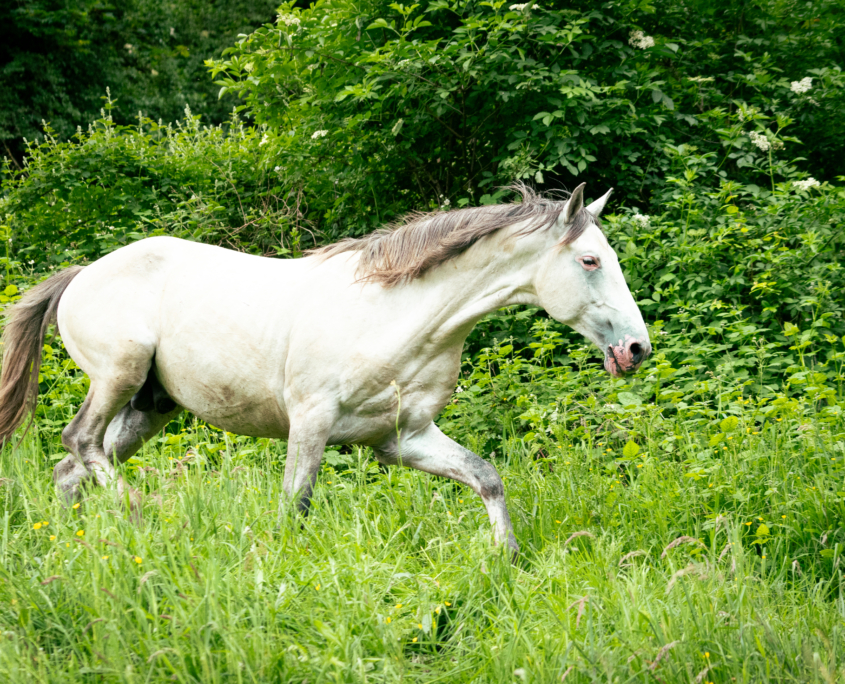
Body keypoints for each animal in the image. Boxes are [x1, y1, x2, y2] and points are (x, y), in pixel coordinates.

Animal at [0, 180, 648, 552]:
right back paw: (139, 509)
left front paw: (505, 558)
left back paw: (73, 543)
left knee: (72, 467)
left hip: (150, 408)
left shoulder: (403, 439)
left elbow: (486, 476)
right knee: (81, 442)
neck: (396, 313)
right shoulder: (310, 423)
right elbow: (296, 507)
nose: (635, 349)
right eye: (590, 260)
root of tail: (80, 275)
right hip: (120, 375)